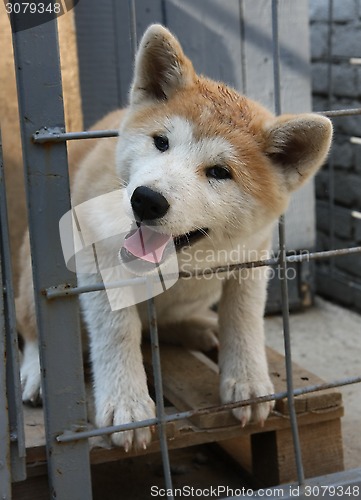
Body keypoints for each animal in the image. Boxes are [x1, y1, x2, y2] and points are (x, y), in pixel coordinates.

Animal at [16, 25, 332, 452]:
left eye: (220, 172)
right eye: (161, 142)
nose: (146, 200)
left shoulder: (253, 256)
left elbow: (244, 317)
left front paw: (247, 380)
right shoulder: (95, 256)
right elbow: (117, 331)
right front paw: (127, 403)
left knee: (162, 324)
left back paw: (196, 327)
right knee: (33, 327)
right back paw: (36, 372)